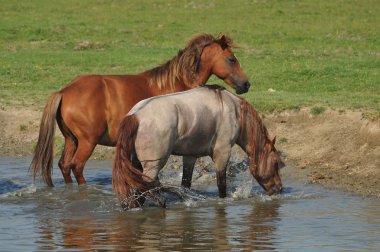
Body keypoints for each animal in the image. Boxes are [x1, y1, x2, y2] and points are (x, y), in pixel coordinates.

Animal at [29, 33, 249, 187]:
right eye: (231, 59)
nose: (246, 84)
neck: (177, 83)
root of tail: (64, 91)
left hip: (71, 140)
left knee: (64, 166)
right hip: (87, 142)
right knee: (77, 167)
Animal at [112, 84, 282, 209]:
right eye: (276, 163)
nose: (279, 189)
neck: (234, 109)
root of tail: (135, 116)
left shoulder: (190, 156)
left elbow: (186, 184)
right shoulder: (223, 153)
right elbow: (222, 184)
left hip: (136, 164)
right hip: (152, 166)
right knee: (146, 185)